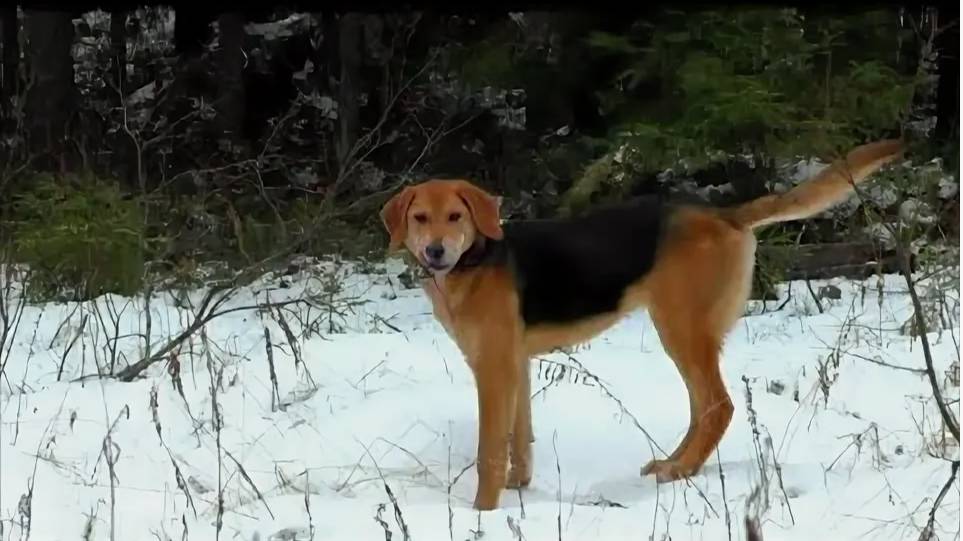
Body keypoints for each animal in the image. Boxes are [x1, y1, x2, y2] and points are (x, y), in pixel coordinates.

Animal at [378, 139, 904, 510]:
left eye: (455, 216)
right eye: (420, 218)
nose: (435, 251)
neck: (474, 261)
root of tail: (722, 214)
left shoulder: (493, 371)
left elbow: (490, 451)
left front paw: (482, 513)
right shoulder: (515, 365)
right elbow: (519, 441)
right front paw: (519, 491)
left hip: (680, 327)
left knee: (718, 406)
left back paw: (680, 471)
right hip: (683, 331)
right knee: (702, 409)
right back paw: (675, 464)